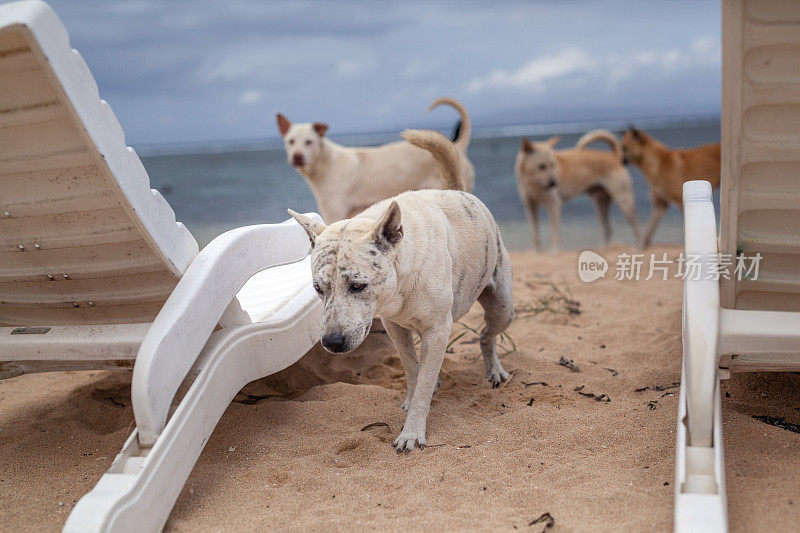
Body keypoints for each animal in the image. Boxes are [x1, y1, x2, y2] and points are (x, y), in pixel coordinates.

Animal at [276, 96, 476, 221]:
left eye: (309, 142)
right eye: (291, 141)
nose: (297, 156)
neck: (326, 163)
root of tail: (457, 146)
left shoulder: (334, 214)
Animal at [288, 128, 512, 448]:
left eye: (358, 285)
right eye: (319, 289)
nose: (331, 342)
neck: (401, 284)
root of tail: (457, 190)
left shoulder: (437, 331)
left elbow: (424, 382)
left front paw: (412, 432)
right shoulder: (394, 327)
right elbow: (412, 368)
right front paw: (414, 395)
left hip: (503, 307)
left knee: (486, 335)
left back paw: (493, 369)